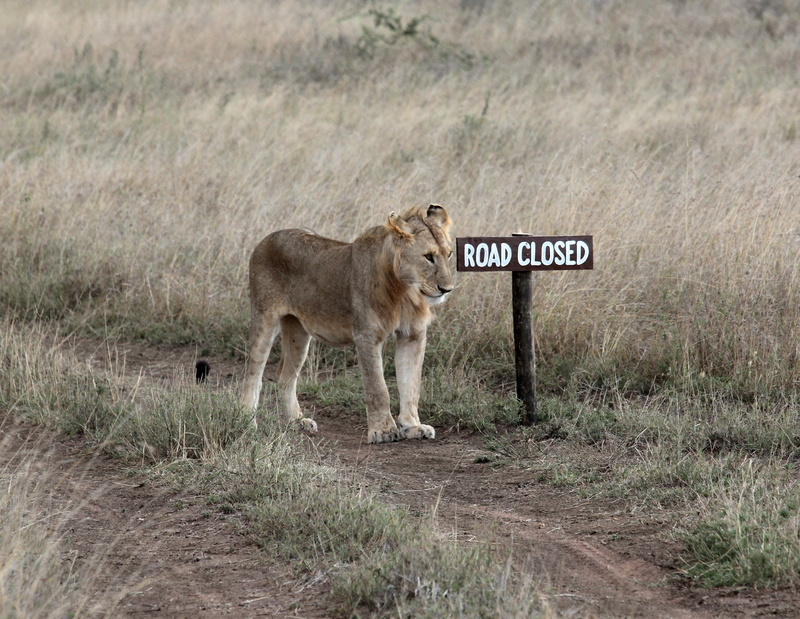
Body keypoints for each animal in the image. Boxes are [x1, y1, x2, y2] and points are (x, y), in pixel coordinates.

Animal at [241, 204, 454, 444]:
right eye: (428, 257)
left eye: (449, 254)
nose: (447, 289)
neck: (405, 291)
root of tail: (266, 238)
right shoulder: (367, 335)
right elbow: (378, 388)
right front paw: (383, 431)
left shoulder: (413, 335)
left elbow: (411, 384)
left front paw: (413, 426)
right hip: (264, 317)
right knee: (253, 374)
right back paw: (247, 423)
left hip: (298, 331)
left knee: (285, 376)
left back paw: (296, 422)